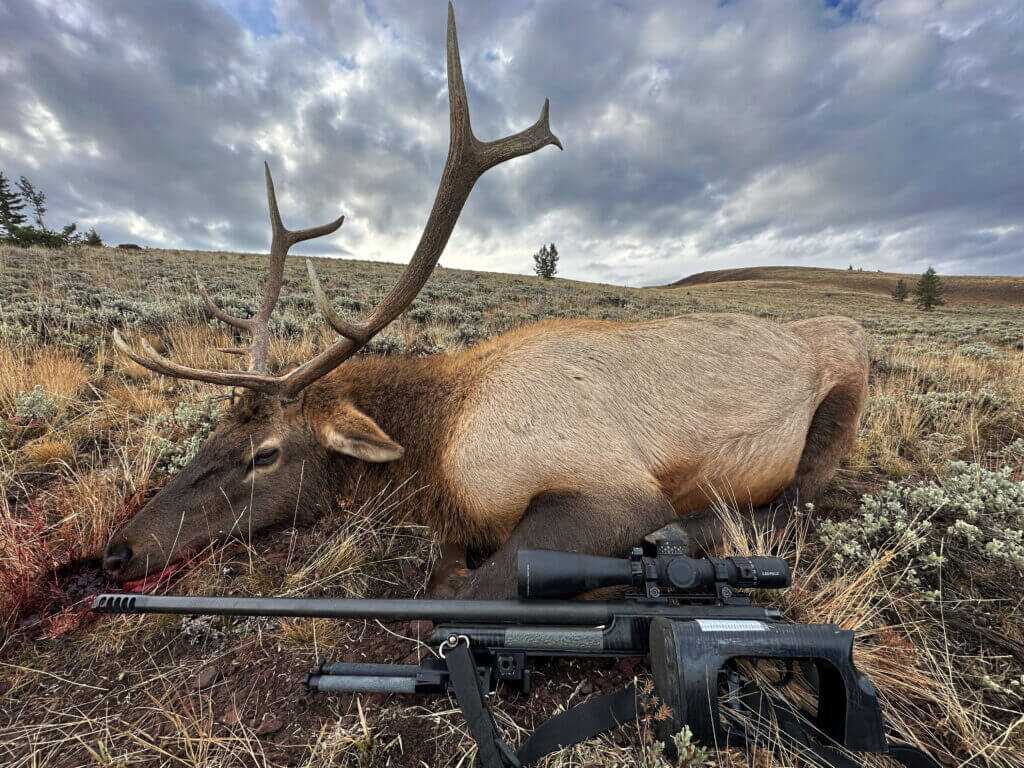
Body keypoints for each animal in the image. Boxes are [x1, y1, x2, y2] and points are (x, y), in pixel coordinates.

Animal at [102, 4, 869, 599]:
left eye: (265, 455)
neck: (441, 447)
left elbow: (470, 585)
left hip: (839, 403)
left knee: (793, 503)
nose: (117, 550)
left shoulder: (615, 486)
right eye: (214, 432)